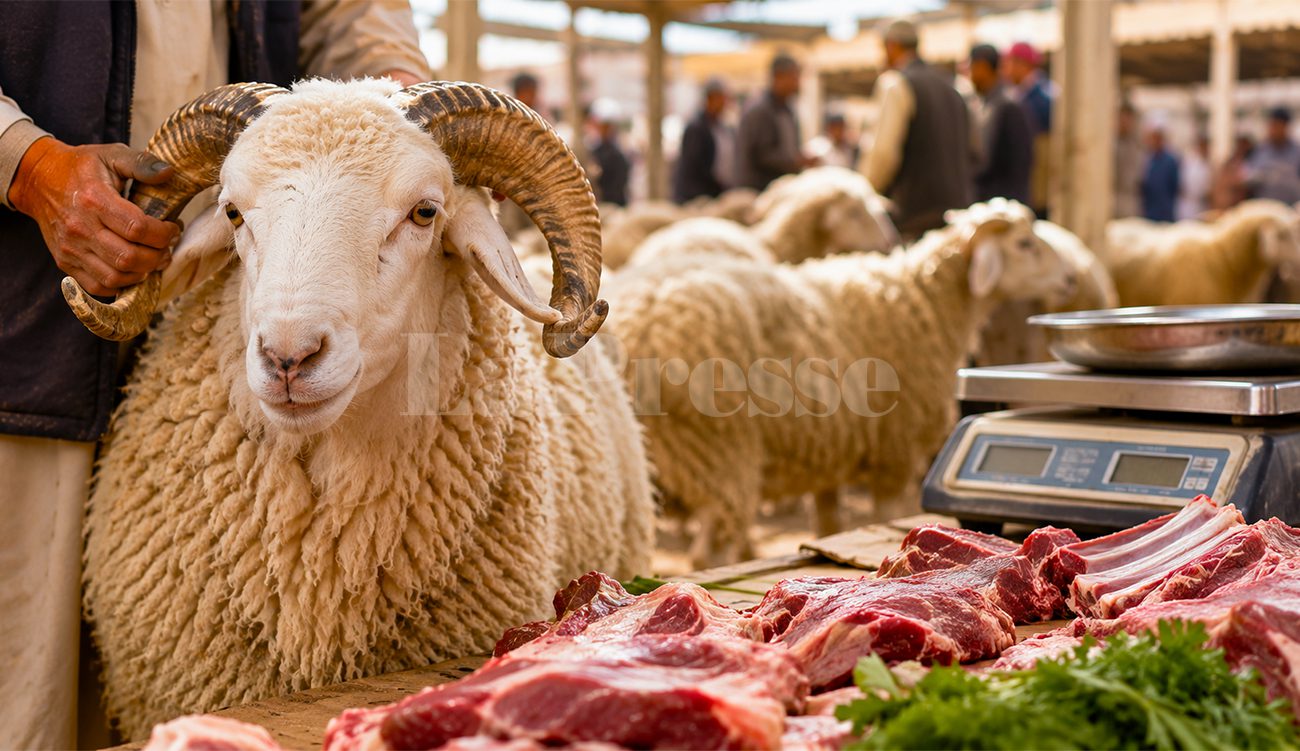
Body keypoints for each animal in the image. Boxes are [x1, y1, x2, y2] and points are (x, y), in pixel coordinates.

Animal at [601, 199, 1074, 566]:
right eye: (1025, 243)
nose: (1069, 278)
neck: (925, 302)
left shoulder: (827, 451)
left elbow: (830, 523)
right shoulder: (893, 453)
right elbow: (884, 516)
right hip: (717, 449)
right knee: (707, 552)